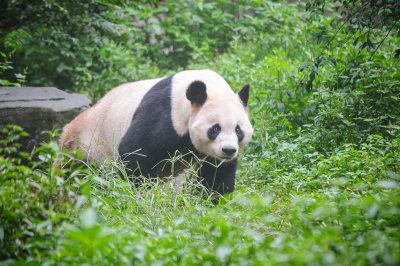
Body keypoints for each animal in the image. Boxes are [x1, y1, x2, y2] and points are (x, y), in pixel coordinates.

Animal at [59, 70, 253, 195]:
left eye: (238, 130)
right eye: (215, 128)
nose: (228, 150)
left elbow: (216, 173)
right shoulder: (166, 114)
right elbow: (136, 151)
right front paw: (140, 193)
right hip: (88, 146)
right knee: (77, 174)